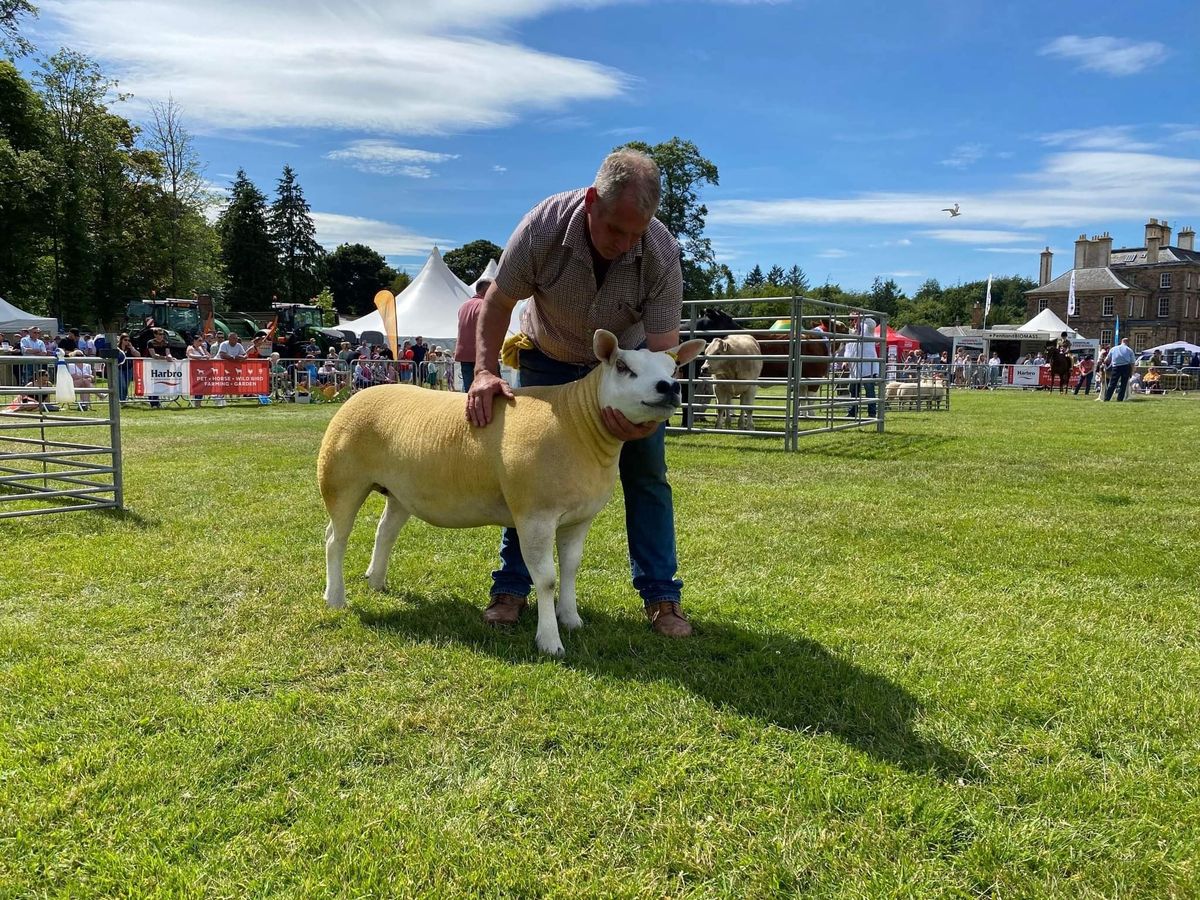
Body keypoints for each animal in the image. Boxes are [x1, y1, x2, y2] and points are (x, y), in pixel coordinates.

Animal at [321, 328, 710, 657]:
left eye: (673, 367)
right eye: (623, 367)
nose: (669, 387)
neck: (578, 423)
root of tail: (362, 392)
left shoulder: (579, 518)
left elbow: (571, 569)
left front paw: (571, 619)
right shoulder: (535, 514)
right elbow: (547, 579)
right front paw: (550, 641)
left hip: (401, 491)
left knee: (384, 531)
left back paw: (376, 581)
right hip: (340, 480)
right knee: (334, 540)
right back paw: (335, 597)